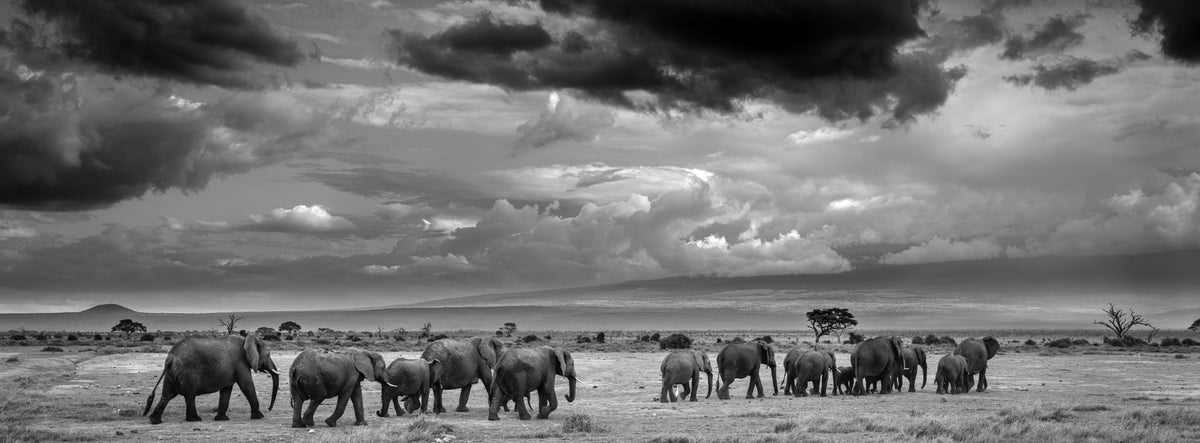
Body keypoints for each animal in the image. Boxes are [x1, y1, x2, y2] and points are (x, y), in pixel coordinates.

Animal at [144, 335, 279, 424]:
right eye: (268, 355)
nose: (269, 408)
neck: (247, 340)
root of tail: (170, 357)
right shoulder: (241, 362)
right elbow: (247, 385)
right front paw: (259, 417)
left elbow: (226, 390)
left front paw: (222, 419)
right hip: (188, 372)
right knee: (189, 395)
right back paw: (195, 420)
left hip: (171, 373)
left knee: (167, 395)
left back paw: (154, 420)